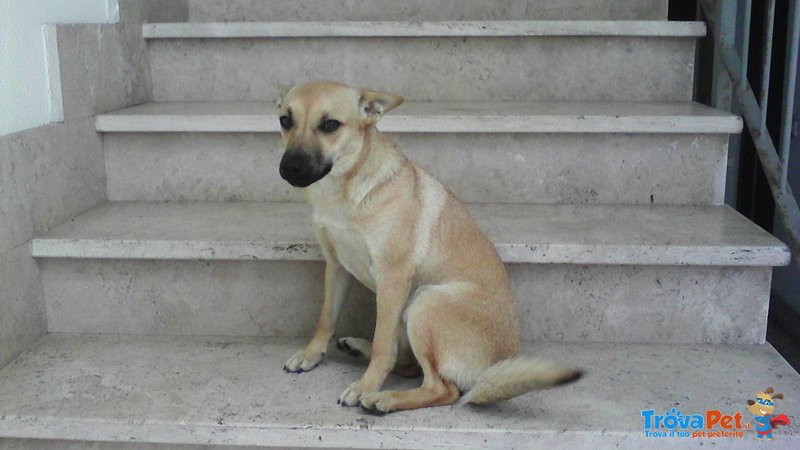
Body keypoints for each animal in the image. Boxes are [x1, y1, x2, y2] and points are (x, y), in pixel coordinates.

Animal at [278, 81, 580, 414]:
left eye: (330, 125)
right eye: (285, 121)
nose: (289, 168)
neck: (345, 189)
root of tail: (493, 369)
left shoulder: (393, 278)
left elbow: (384, 342)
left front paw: (366, 386)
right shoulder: (337, 266)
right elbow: (326, 318)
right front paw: (311, 354)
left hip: (424, 301)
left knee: (441, 388)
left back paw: (383, 398)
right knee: (410, 366)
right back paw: (358, 349)